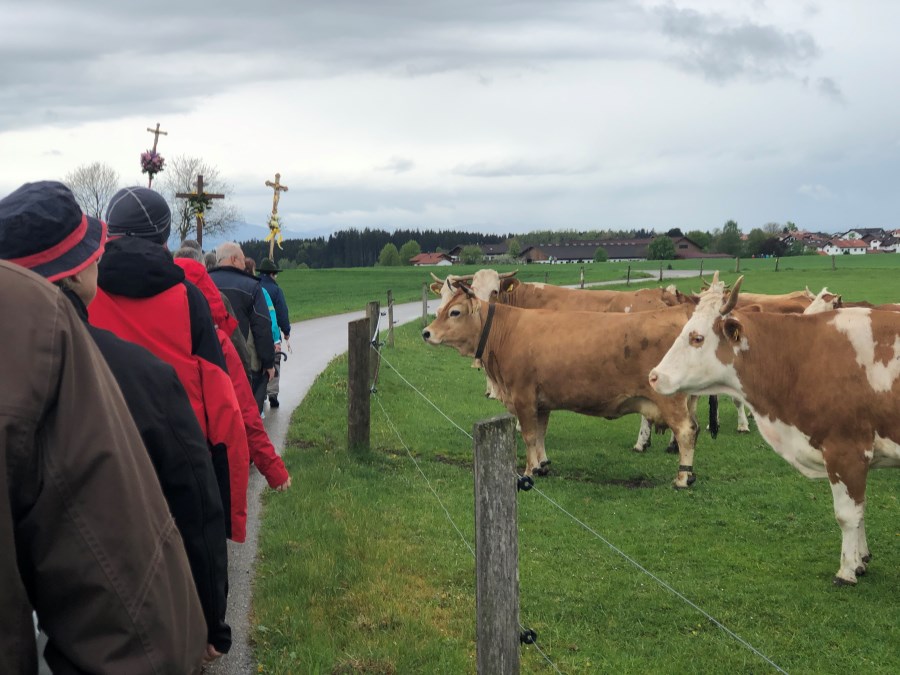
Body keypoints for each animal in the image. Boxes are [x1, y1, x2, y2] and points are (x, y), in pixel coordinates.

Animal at [422, 288, 704, 488]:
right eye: (441, 308)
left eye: (454, 312)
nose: (426, 332)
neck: (507, 330)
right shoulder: (541, 401)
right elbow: (541, 434)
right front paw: (542, 465)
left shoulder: (523, 397)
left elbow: (529, 436)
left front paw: (528, 472)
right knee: (694, 427)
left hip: (670, 399)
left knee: (685, 431)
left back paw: (683, 478)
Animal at [652, 274, 900, 588]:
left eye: (697, 338)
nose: (654, 376)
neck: (800, 357)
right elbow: (861, 510)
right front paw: (860, 560)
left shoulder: (846, 451)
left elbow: (847, 515)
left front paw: (846, 570)